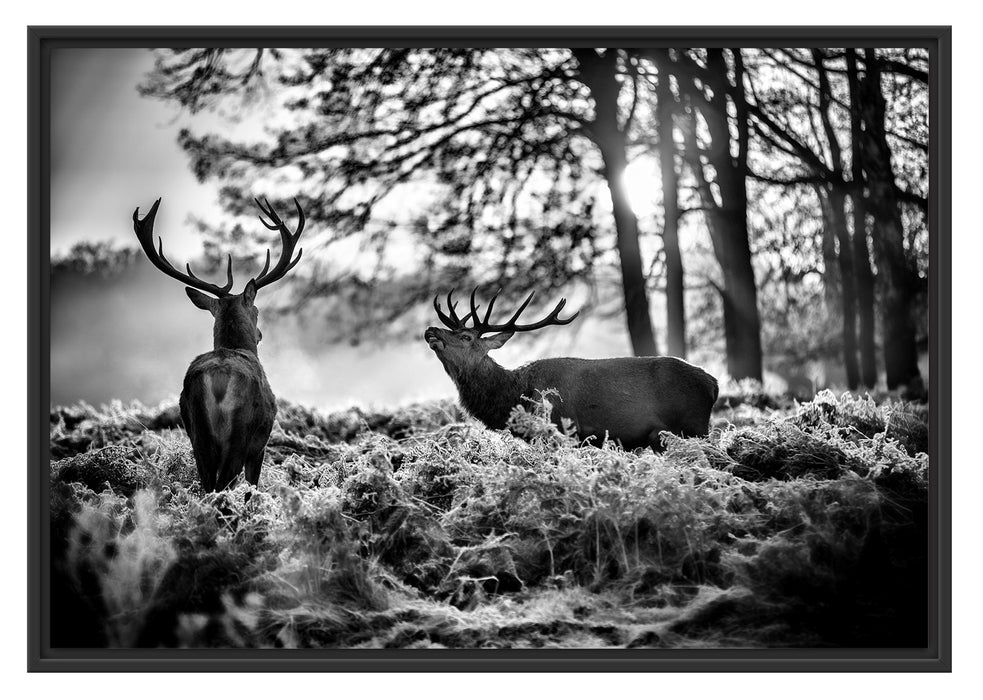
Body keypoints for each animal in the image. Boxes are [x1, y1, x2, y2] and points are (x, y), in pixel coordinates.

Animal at [133, 197, 306, 492]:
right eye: (256, 310)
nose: (260, 334)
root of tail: (218, 380)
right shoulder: (259, 446)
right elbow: (252, 486)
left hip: (197, 432)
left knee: (207, 483)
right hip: (240, 433)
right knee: (223, 483)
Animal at [426, 288, 720, 452]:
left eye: (466, 337)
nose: (431, 330)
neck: (516, 394)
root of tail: (713, 384)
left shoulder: (563, 427)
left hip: (694, 426)